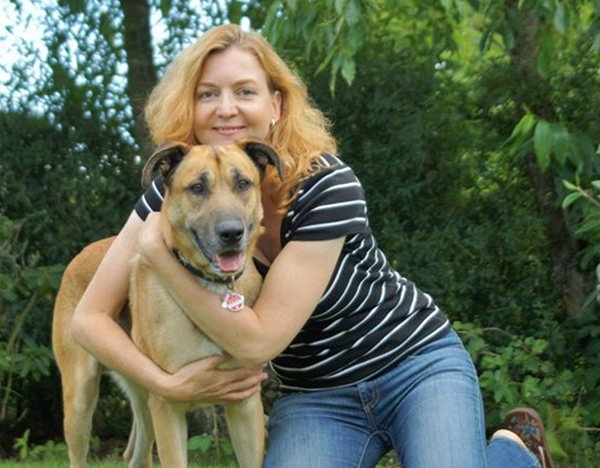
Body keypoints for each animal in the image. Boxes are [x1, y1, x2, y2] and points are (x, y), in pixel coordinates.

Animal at [52, 142, 284, 468]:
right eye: (197, 187)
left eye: (243, 183)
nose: (231, 233)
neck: (215, 287)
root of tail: (84, 251)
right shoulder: (168, 406)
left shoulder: (245, 405)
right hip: (80, 397)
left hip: (142, 395)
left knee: (136, 456)